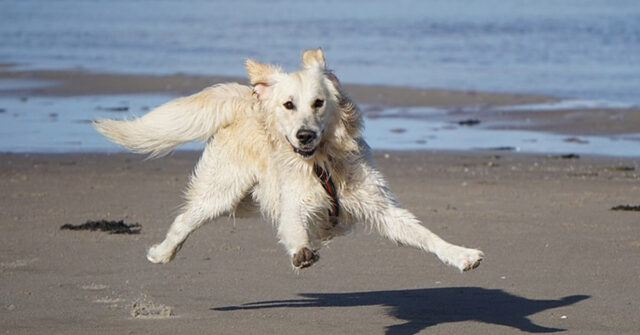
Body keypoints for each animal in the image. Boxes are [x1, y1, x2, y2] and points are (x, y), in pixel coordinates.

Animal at [94, 48, 484, 272]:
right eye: (289, 105)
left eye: (318, 103)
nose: (305, 135)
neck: (322, 163)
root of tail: (248, 99)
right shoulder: (293, 202)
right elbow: (295, 227)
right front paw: (301, 252)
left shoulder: (380, 207)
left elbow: (425, 234)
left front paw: (461, 254)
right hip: (222, 192)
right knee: (184, 220)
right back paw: (161, 253)